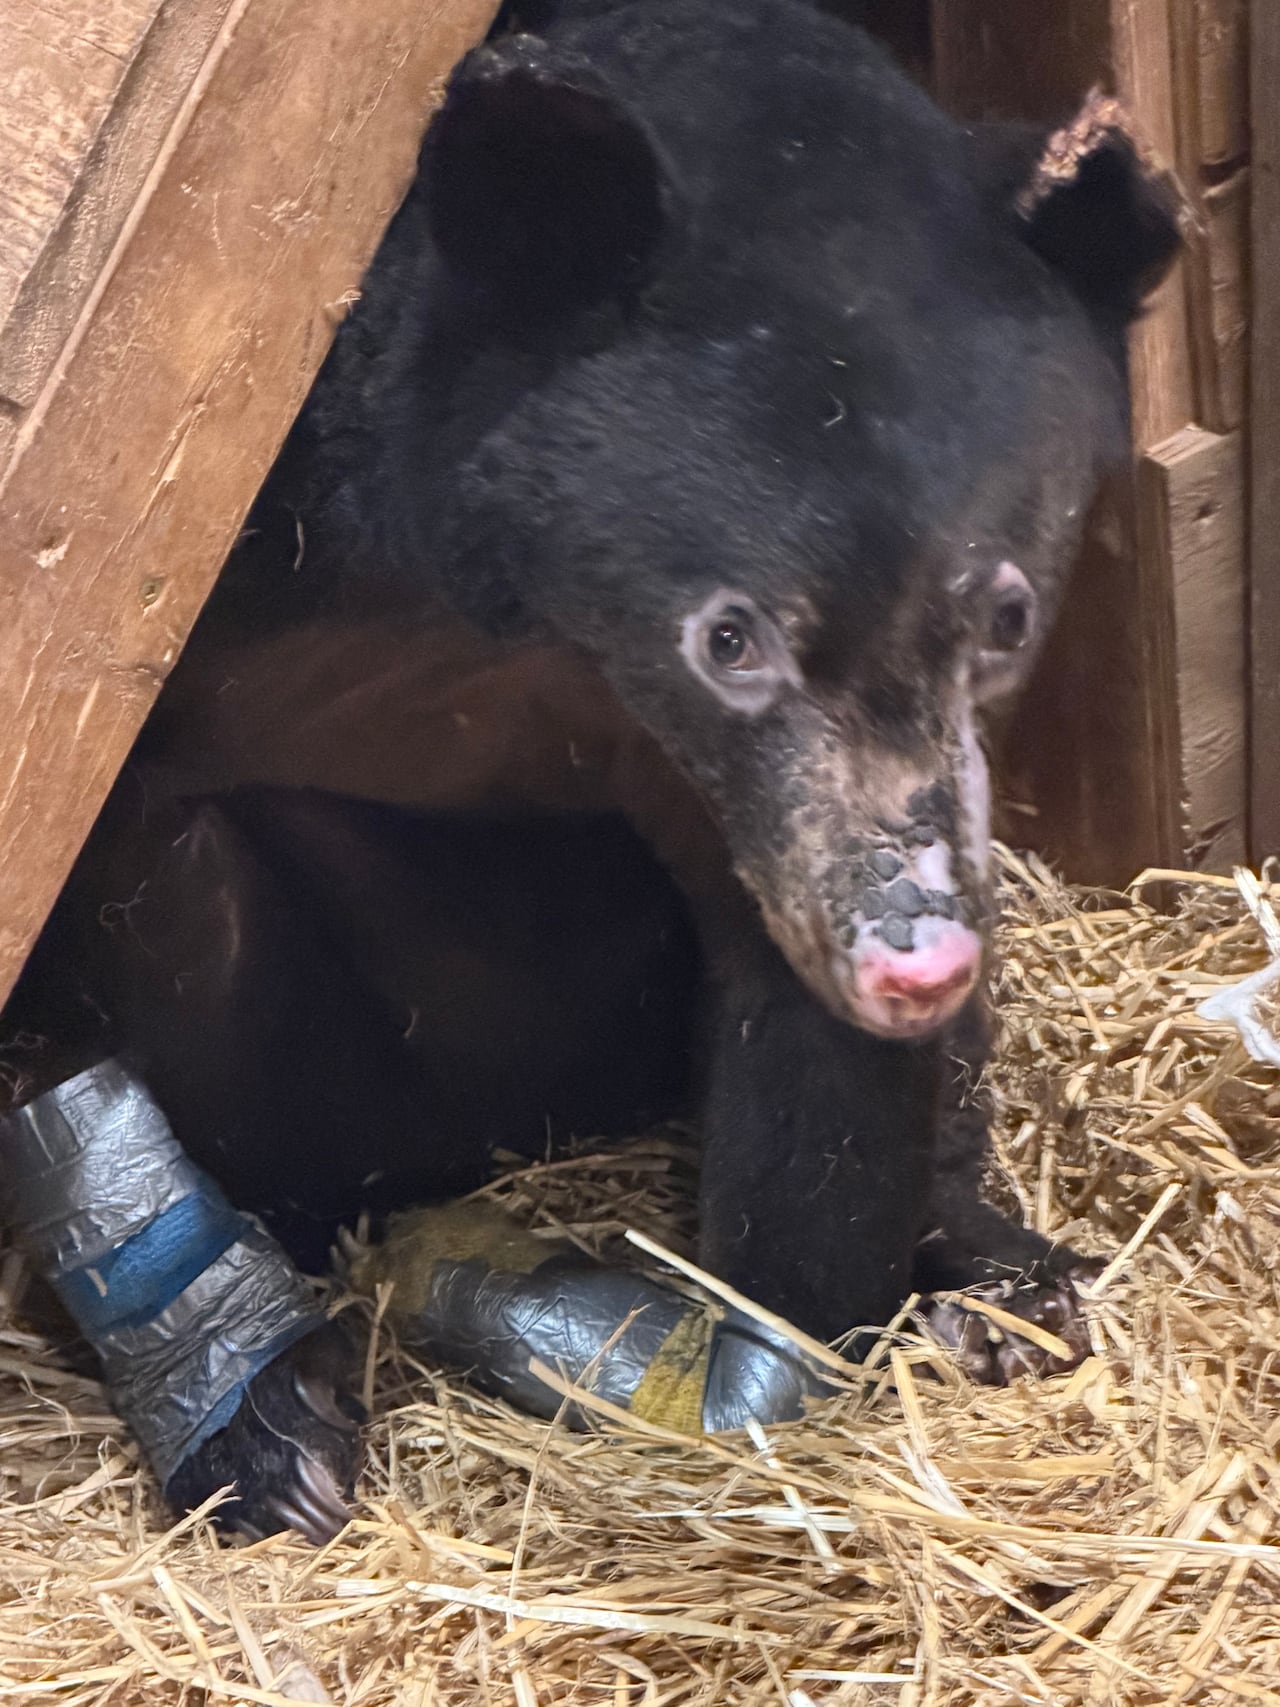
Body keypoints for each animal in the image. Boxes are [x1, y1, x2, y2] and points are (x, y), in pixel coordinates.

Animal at [0, 0, 1180, 1541]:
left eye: (1005, 614)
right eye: (727, 636)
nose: (912, 959)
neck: (510, 625)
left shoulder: (725, 792)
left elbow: (797, 1046)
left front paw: (795, 1341)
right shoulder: (197, 613)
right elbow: (95, 935)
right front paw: (259, 1430)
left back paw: (1003, 1276)